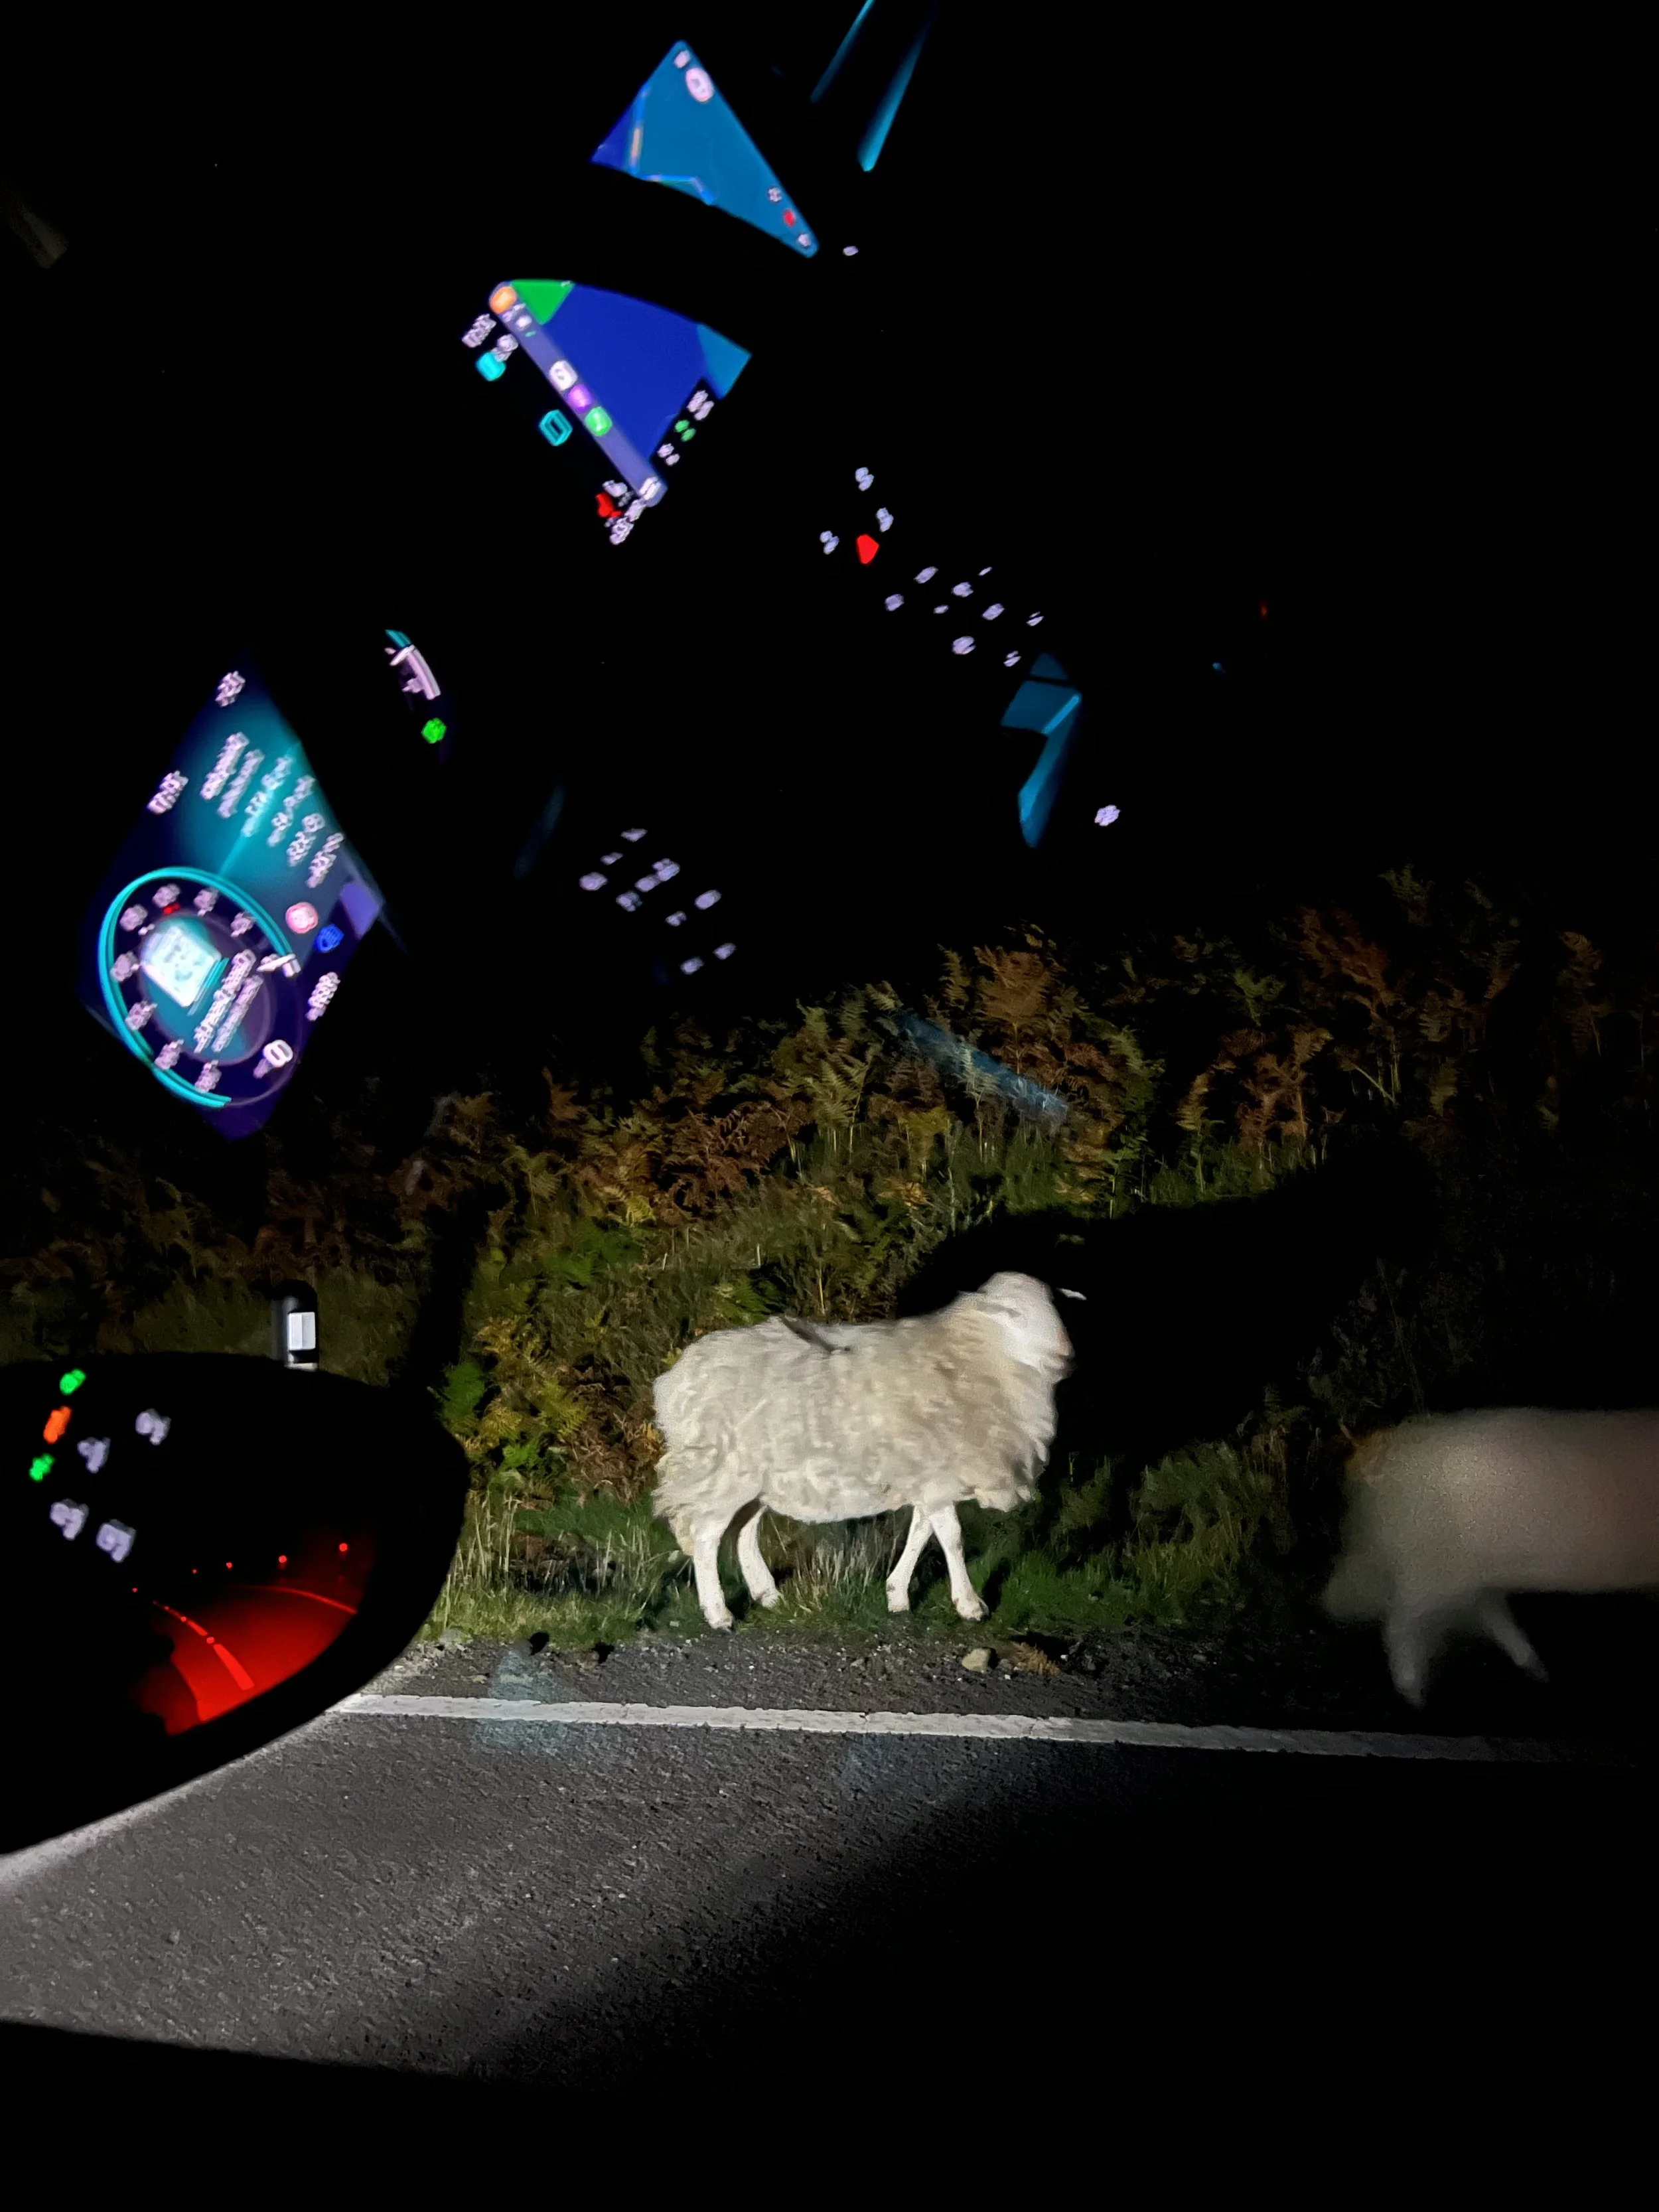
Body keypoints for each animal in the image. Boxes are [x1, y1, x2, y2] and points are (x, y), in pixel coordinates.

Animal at [652, 1273, 1075, 1630]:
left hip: (754, 1478)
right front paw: (970, 1605)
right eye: (1012, 1315)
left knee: (743, 1530)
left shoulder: (929, 1477)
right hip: (720, 1469)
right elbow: (952, 1537)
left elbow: (921, 1533)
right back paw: (718, 1614)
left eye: (1055, 1308)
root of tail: (674, 1381)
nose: (1066, 1356)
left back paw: (767, 1595)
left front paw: (897, 1595)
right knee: (706, 1538)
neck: (973, 1355)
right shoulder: (936, 1472)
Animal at [1321, 1407, 1659, 1706]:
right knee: (1399, 1627)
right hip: (1429, 1572)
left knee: (1487, 1612)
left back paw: (1538, 1671)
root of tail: (1371, 1456)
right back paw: (1416, 1700)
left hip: (1464, 1575)